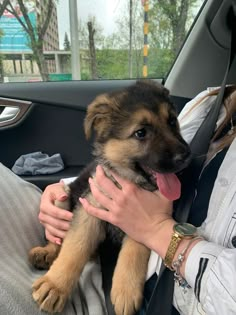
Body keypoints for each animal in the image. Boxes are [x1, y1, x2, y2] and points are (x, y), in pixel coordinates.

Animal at [29, 81, 191, 315]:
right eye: (141, 133)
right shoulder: (88, 210)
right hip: (63, 197)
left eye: (172, 121)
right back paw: (45, 253)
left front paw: (126, 291)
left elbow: (134, 252)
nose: (185, 156)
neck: (126, 179)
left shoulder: (139, 221)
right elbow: (74, 247)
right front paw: (55, 285)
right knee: (57, 241)